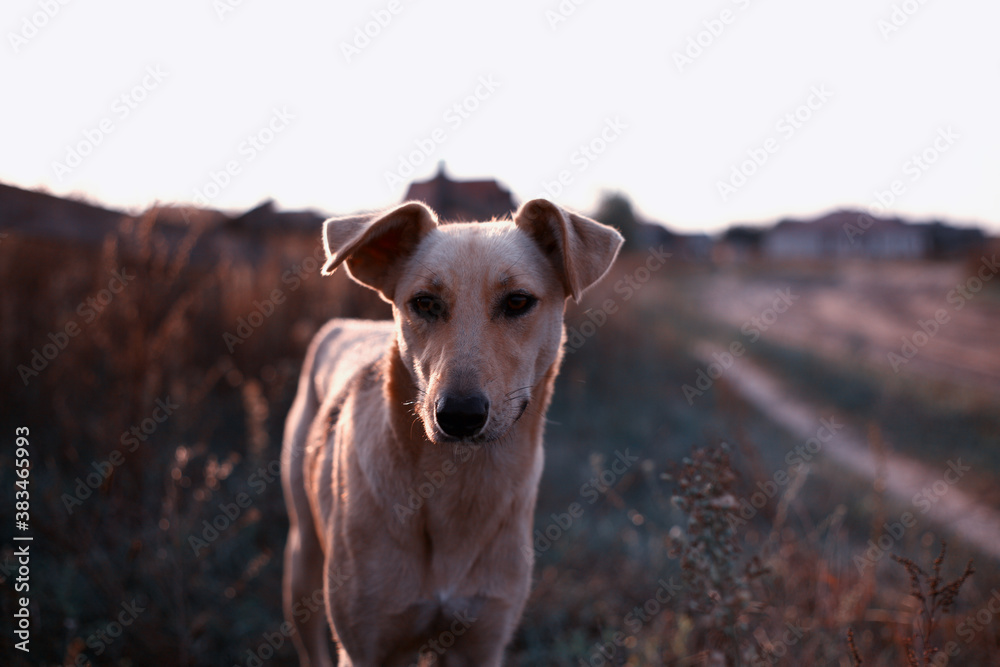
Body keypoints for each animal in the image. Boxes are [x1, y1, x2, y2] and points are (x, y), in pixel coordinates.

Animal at [282, 200, 620, 667]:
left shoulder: (481, 640)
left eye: (518, 301)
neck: (458, 486)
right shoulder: (366, 646)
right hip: (303, 560)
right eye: (425, 302)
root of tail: (344, 324)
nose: (459, 415)